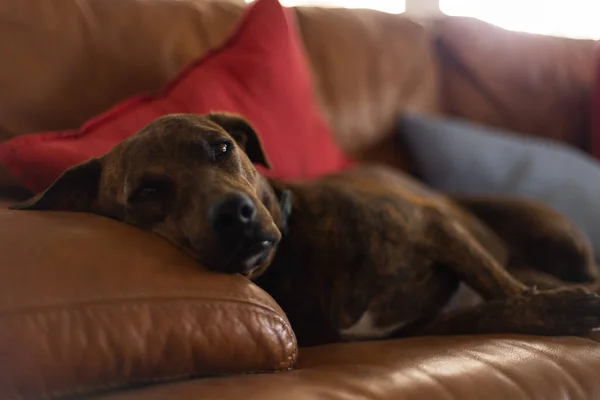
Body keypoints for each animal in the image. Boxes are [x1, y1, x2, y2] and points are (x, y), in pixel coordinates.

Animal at [10, 114, 600, 346]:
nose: (233, 213)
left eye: (221, 148)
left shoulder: (437, 230)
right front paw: (567, 309)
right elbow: (500, 307)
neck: (297, 257)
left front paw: (568, 305)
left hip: (552, 233)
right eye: (148, 193)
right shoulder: (420, 326)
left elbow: (506, 289)